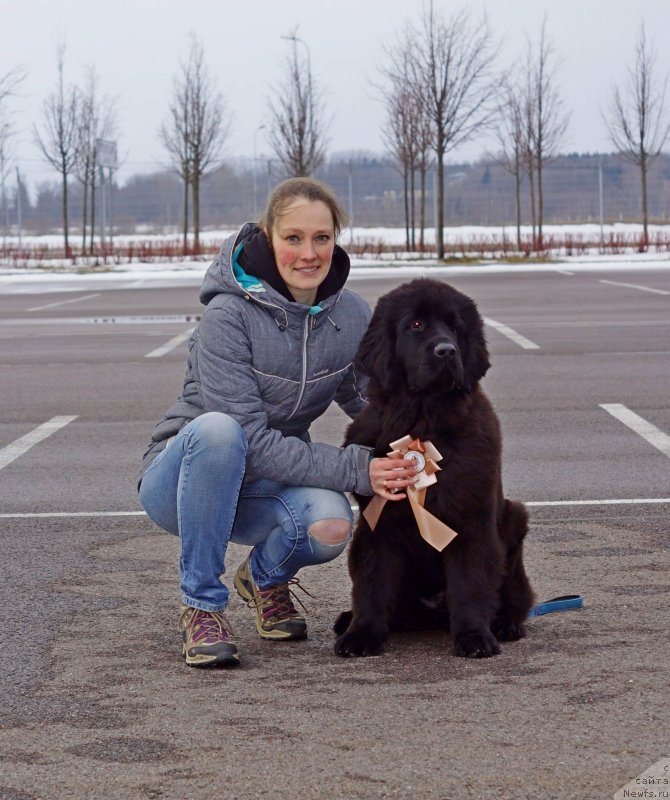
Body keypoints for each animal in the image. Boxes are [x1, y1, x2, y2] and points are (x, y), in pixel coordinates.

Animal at [336, 278, 536, 660]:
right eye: (416, 325)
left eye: (455, 328)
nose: (446, 351)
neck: (422, 420)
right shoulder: (376, 523)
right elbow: (372, 583)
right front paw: (361, 635)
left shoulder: (469, 519)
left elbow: (470, 581)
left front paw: (474, 636)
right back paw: (347, 620)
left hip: (514, 518)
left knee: (515, 596)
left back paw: (506, 624)